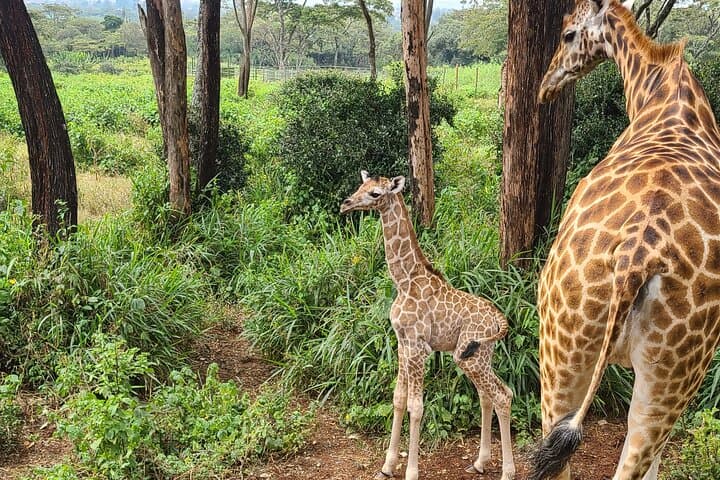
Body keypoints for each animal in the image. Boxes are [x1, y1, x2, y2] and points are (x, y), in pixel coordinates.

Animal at [340, 171, 516, 480]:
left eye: (375, 194)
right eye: (361, 185)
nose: (345, 204)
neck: (404, 281)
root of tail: (499, 319)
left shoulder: (418, 348)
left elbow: (416, 407)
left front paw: (411, 471)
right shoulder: (402, 344)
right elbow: (398, 399)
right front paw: (387, 466)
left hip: (469, 356)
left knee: (502, 396)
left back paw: (508, 472)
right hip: (479, 354)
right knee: (489, 395)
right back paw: (480, 462)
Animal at [530, 1, 720, 480]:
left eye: (567, 34)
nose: (545, 87)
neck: (656, 91)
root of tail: (638, 254)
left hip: (562, 346)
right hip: (674, 374)